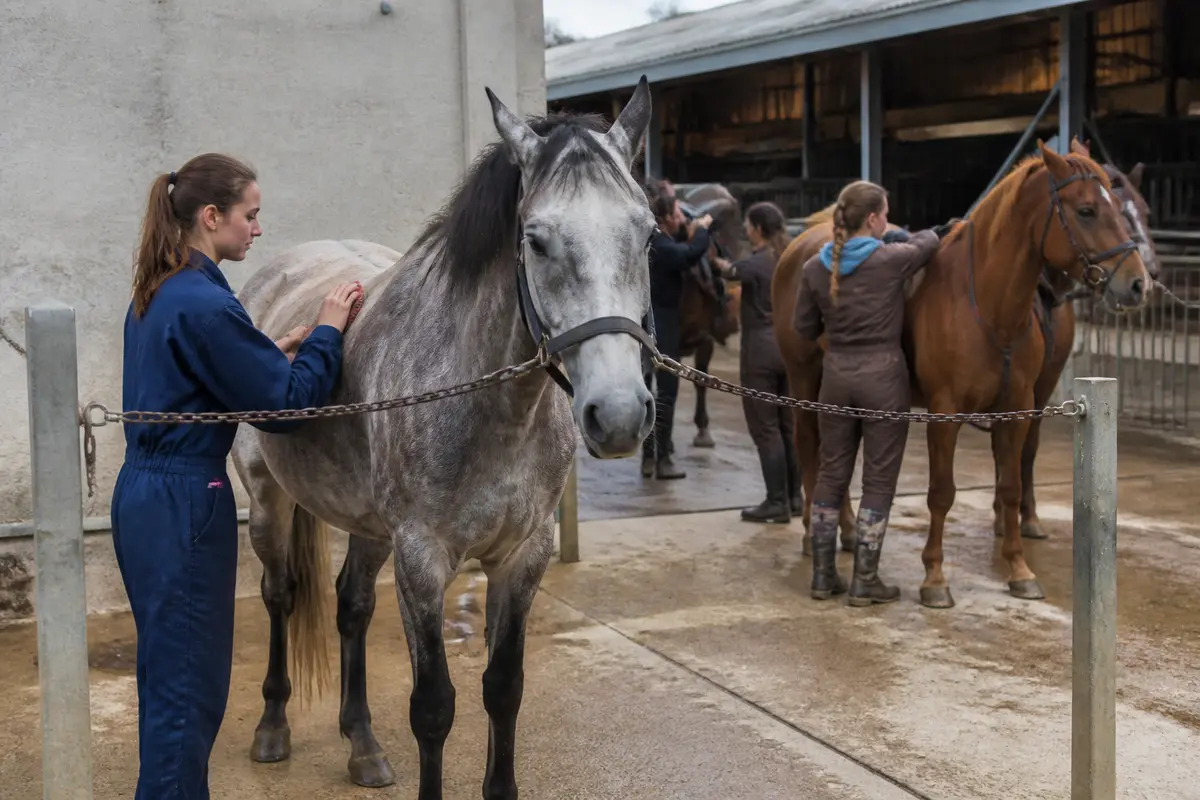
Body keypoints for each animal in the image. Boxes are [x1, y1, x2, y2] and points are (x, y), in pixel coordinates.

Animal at [229, 80, 658, 797]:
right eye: (536, 241)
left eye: (648, 234)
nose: (620, 413)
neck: (489, 407)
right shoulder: (423, 561)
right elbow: (433, 708)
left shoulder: (521, 558)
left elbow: (503, 690)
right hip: (269, 500)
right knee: (280, 593)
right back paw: (271, 728)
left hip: (371, 527)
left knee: (350, 606)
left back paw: (362, 744)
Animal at [771, 140, 1150, 608]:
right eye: (1086, 211)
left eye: (1126, 206)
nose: (1139, 283)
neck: (987, 304)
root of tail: (804, 245)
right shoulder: (944, 412)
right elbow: (941, 493)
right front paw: (934, 578)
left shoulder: (1018, 407)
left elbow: (1010, 485)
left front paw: (1019, 569)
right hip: (804, 380)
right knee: (810, 448)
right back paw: (812, 535)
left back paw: (846, 532)